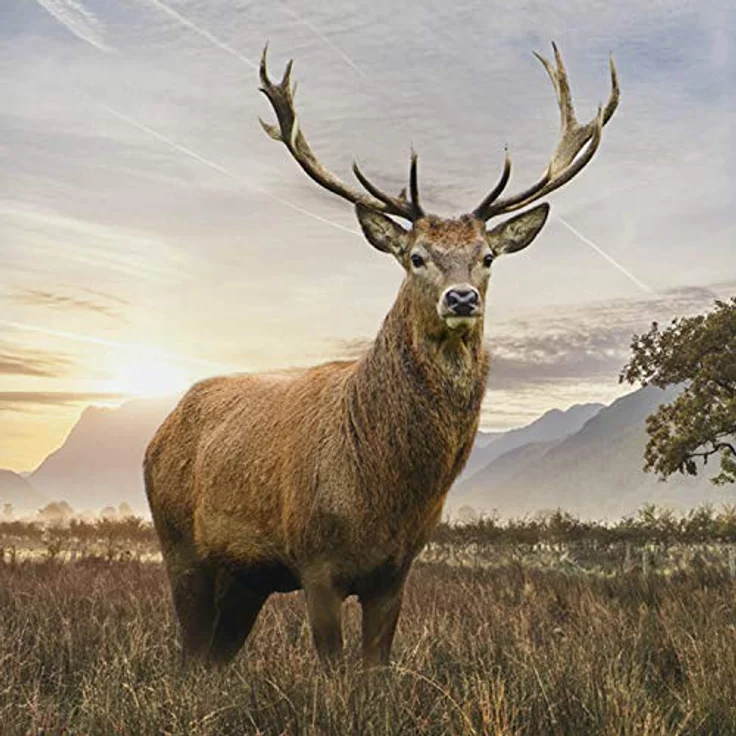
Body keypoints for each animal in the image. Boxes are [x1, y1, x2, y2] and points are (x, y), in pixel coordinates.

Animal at [144, 43, 619, 667]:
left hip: (245, 579)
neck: (383, 493)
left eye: (487, 256)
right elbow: (331, 668)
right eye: (416, 256)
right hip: (180, 545)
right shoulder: (315, 561)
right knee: (191, 654)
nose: (461, 297)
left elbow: (376, 668)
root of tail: (160, 431)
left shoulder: (396, 571)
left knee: (216, 657)